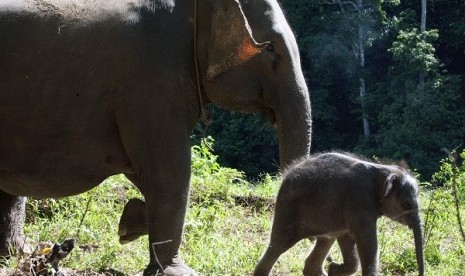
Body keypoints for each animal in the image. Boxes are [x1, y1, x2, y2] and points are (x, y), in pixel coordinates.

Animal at [0, 1, 312, 274]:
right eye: (270, 47)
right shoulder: (152, 80)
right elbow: (169, 172)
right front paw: (176, 270)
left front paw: (132, 221)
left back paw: (20, 252)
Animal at [254, 152, 424, 274]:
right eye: (406, 204)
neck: (385, 171)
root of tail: (287, 173)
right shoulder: (358, 199)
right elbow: (366, 241)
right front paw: (335, 268)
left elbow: (347, 237)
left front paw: (334, 269)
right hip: (288, 208)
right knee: (279, 244)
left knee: (326, 240)